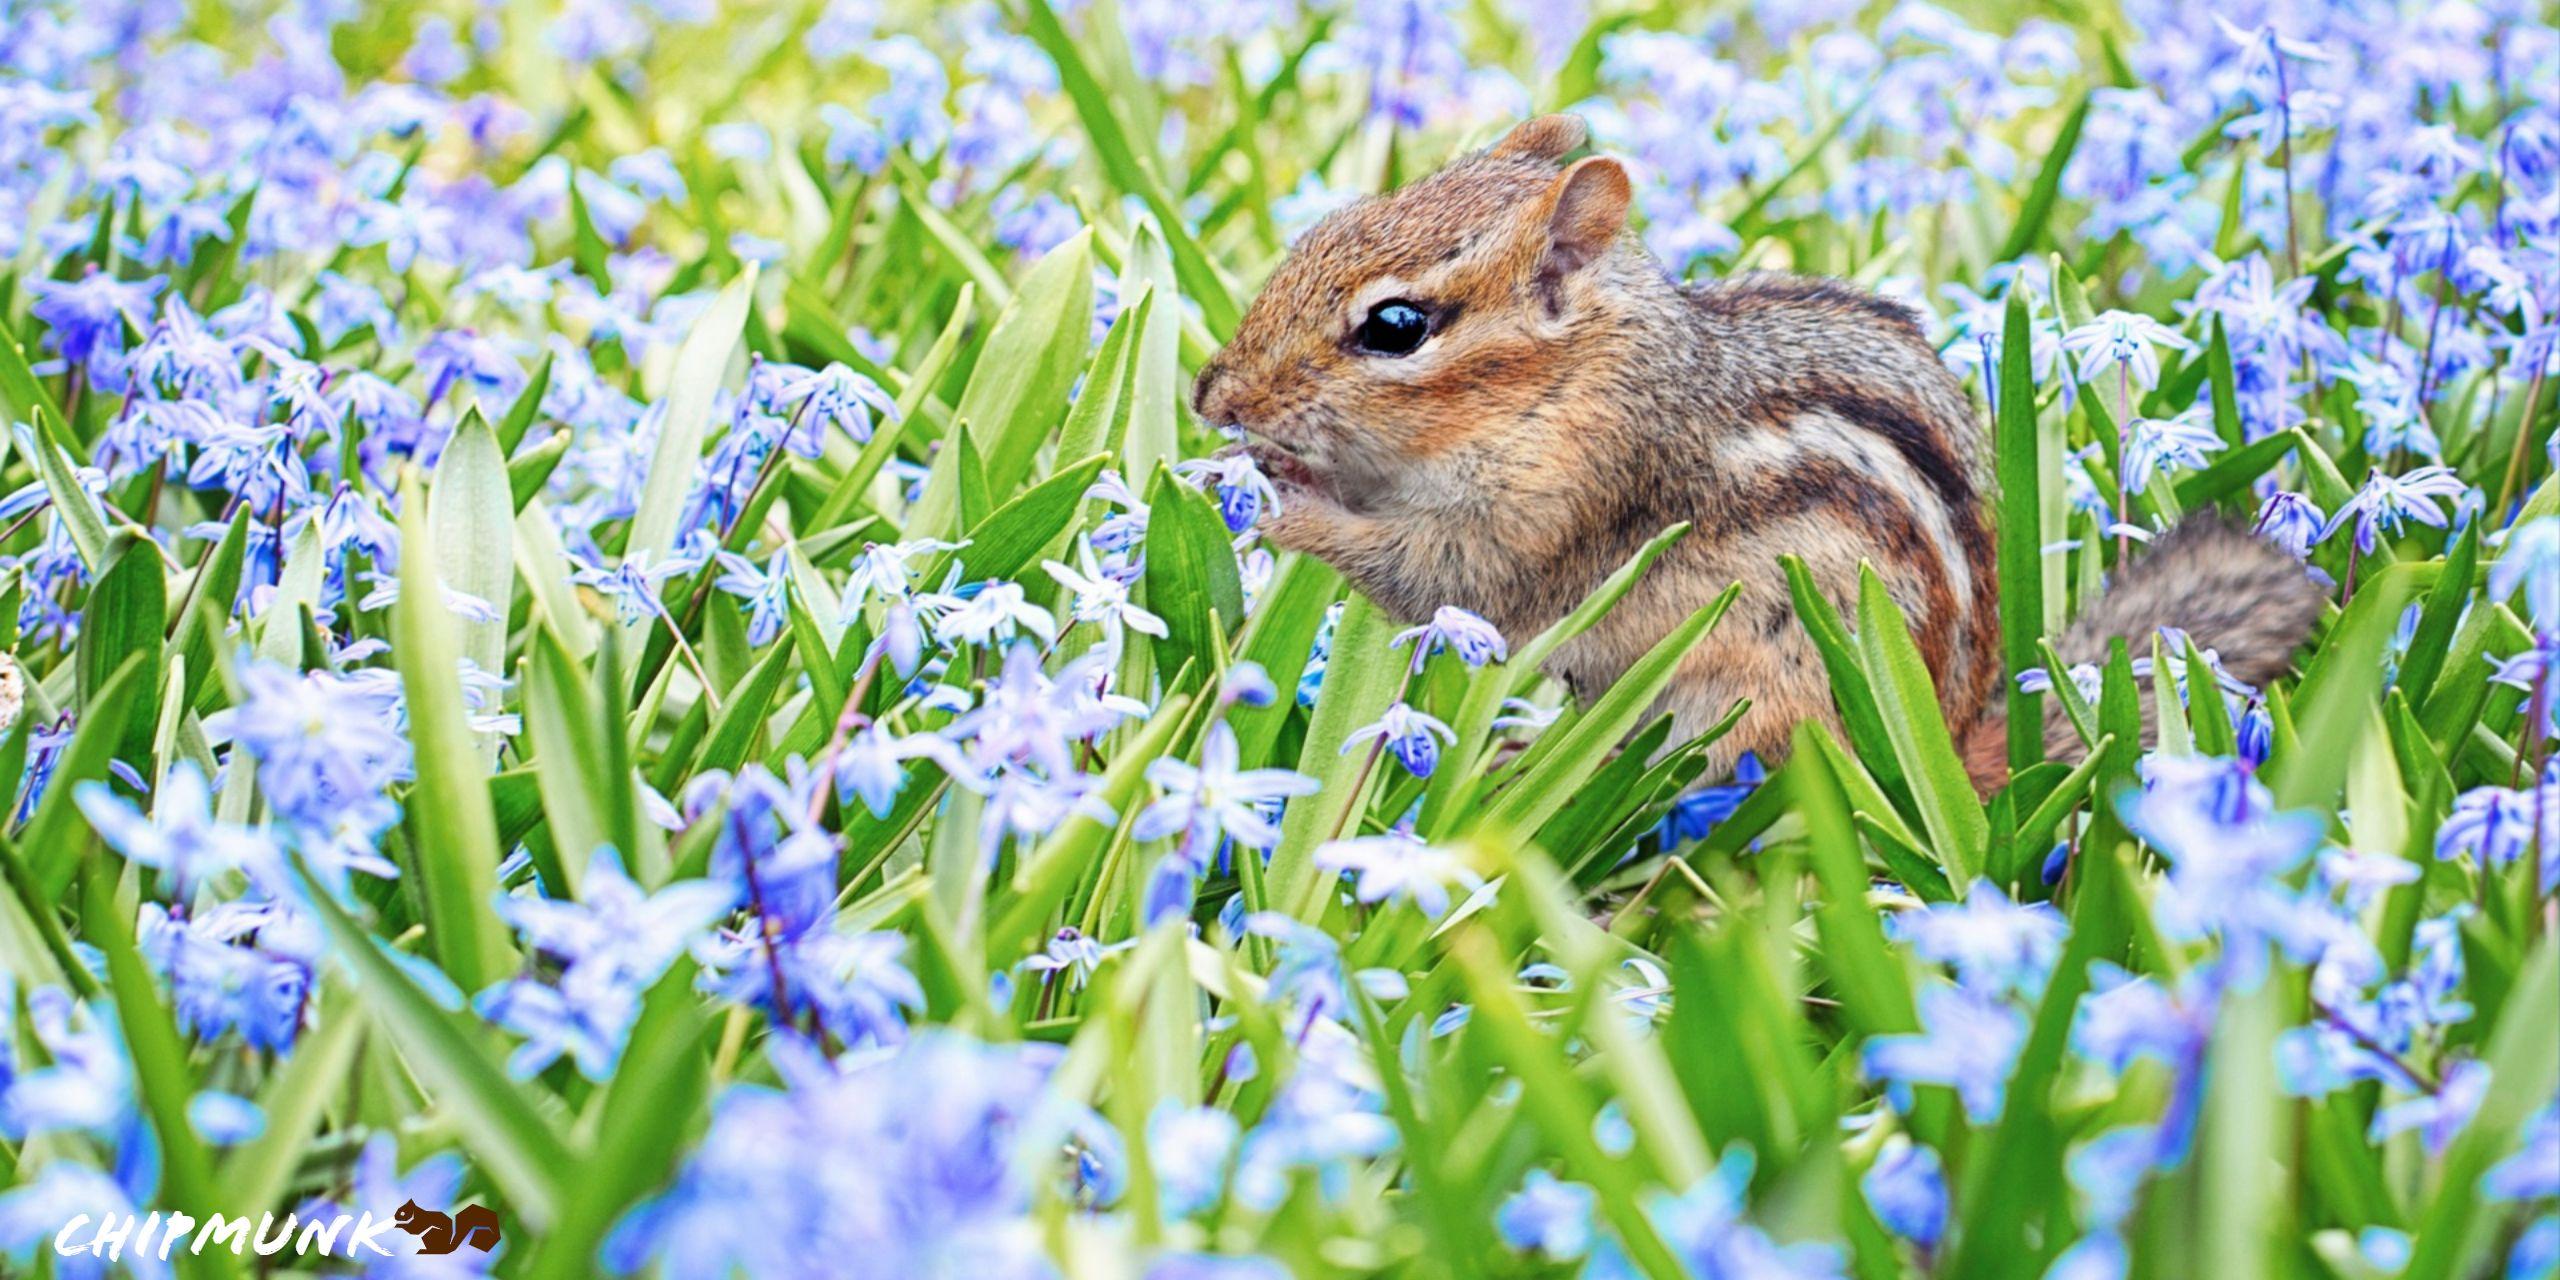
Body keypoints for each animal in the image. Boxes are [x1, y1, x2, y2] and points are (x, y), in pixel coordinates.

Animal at [1193, 115, 2325, 793]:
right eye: (1326, 225)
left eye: (1396, 326)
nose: (1212, 395)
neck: (1567, 382)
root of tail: (1948, 746)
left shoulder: (1560, 508)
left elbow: (1433, 574)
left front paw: (1281, 496)